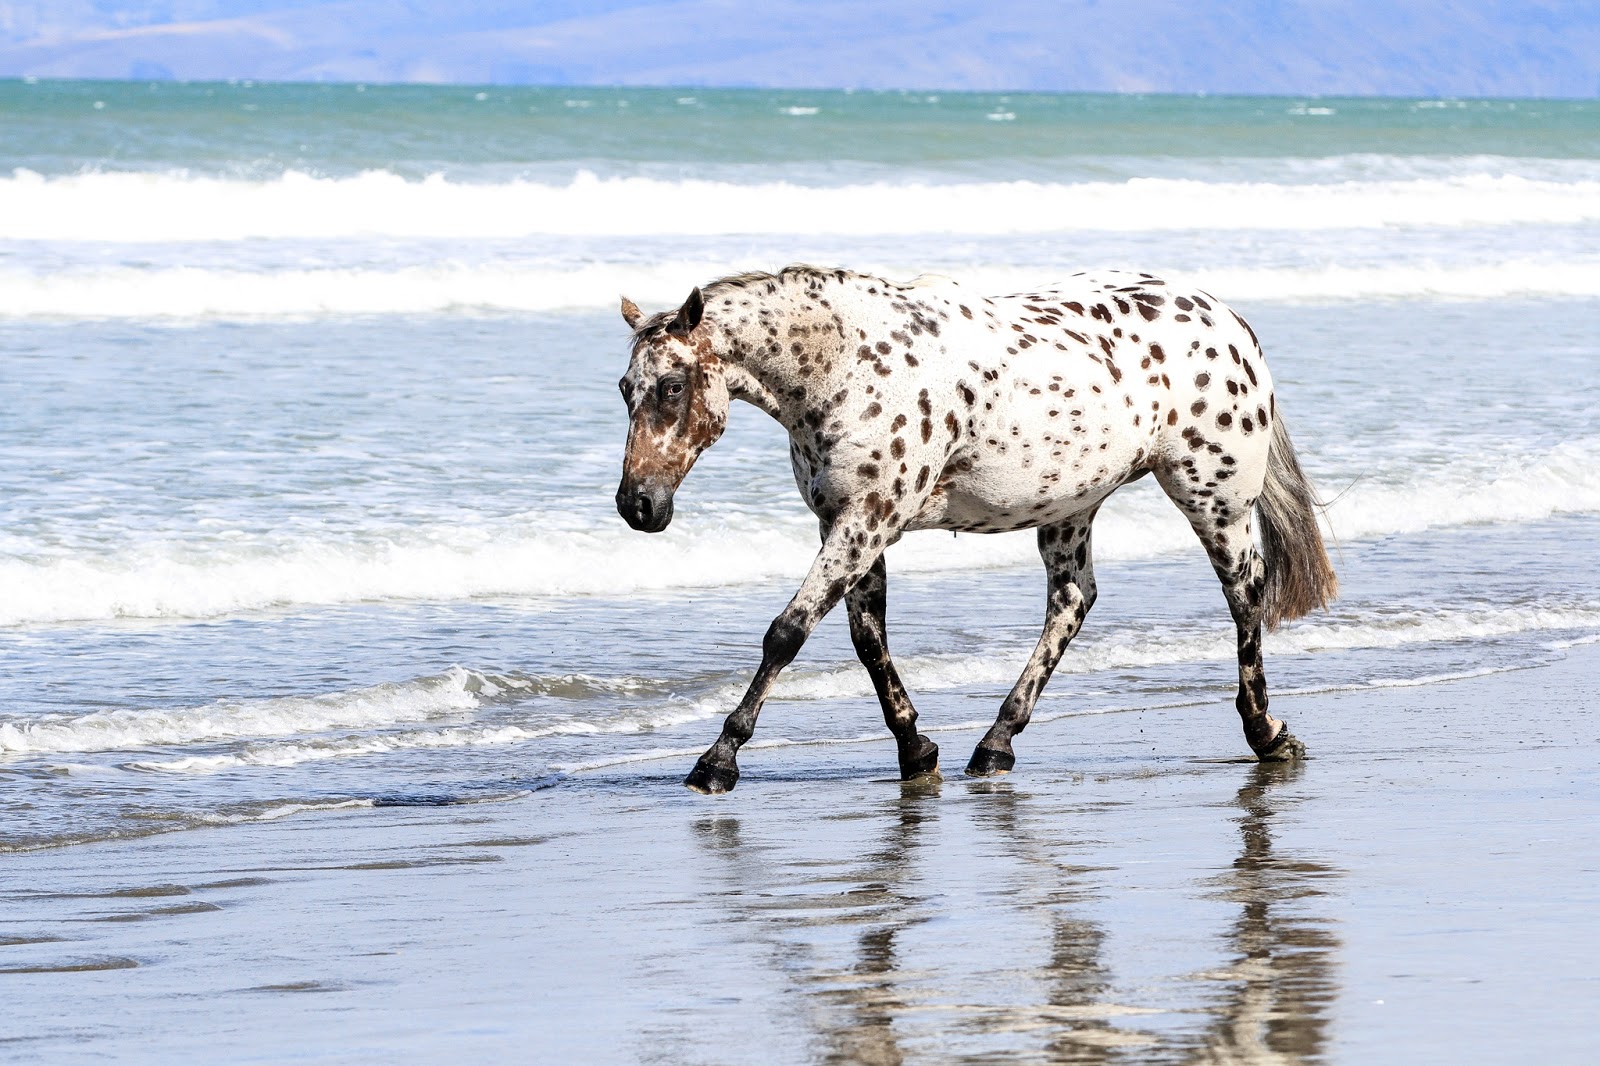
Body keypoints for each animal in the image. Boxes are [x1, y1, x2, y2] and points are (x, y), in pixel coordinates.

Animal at [614, 264, 1337, 793]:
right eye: (626, 388)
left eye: (672, 387)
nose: (638, 505)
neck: (848, 364)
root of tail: (1231, 322)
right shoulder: (847, 525)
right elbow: (868, 642)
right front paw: (916, 749)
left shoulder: (866, 521)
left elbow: (786, 633)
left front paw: (717, 759)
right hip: (1070, 507)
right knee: (1071, 603)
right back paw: (996, 743)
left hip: (1214, 501)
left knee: (1244, 598)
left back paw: (1267, 734)